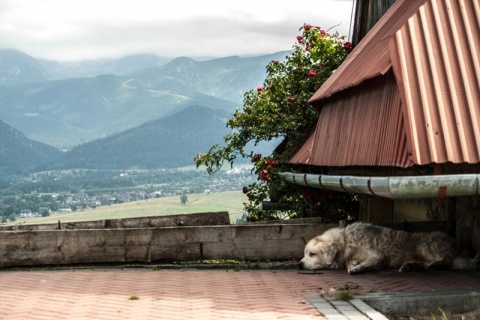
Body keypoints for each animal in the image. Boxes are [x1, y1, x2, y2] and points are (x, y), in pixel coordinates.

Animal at [298, 221, 478, 274]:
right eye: (305, 254)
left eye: (312, 254)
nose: (298, 264)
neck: (346, 241)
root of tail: (457, 243)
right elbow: (350, 261)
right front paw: (353, 263)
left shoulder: (378, 255)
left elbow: (369, 262)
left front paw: (357, 268)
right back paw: (410, 266)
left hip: (425, 245)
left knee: (447, 260)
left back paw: (433, 264)